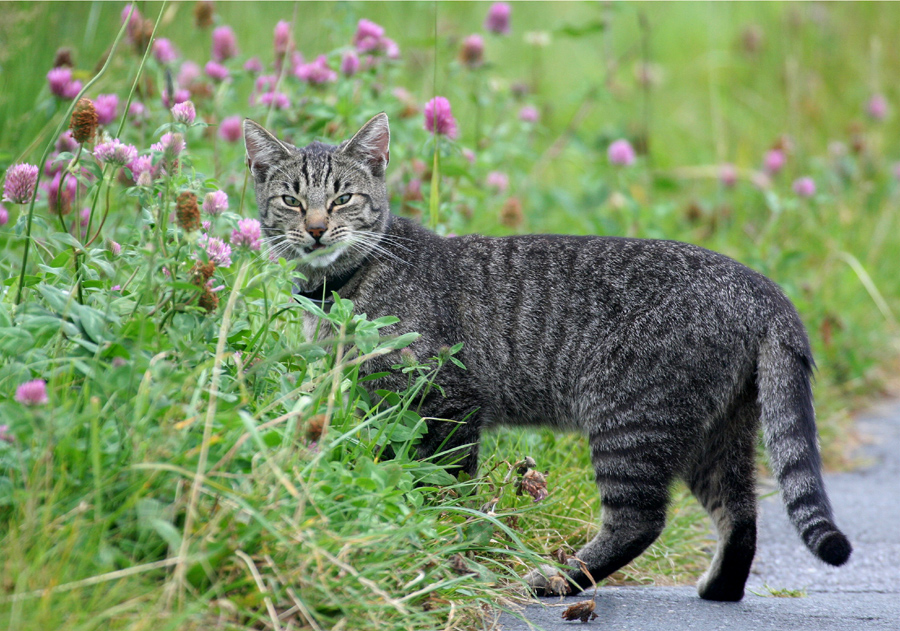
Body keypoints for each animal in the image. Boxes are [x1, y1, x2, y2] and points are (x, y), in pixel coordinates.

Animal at [244, 112, 852, 604]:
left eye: (342, 198)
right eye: (291, 200)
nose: (316, 228)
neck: (339, 291)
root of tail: (759, 286)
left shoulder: (448, 403)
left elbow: (442, 487)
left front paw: (441, 543)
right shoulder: (386, 408)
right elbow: (399, 470)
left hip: (630, 420)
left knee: (640, 520)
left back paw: (562, 579)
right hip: (717, 432)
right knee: (741, 512)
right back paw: (720, 588)